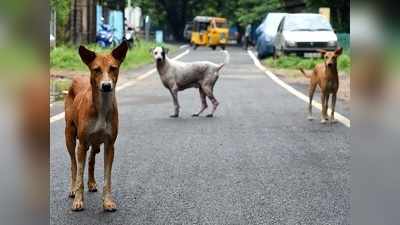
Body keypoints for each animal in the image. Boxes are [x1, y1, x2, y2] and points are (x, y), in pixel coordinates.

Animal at [64, 41, 127, 212]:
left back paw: (91, 183)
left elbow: (107, 178)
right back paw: (72, 189)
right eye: (96, 69)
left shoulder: (110, 145)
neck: (101, 107)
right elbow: (79, 174)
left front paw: (107, 202)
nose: (106, 86)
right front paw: (78, 200)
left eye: (113, 68)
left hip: (95, 143)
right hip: (70, 136)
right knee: (73, 164)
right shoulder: (82, 144)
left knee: (91, 160)